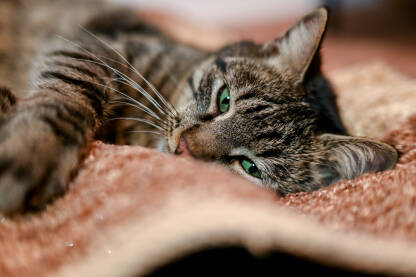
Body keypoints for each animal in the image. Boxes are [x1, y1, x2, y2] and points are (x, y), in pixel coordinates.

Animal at [0, 0, 398, 213]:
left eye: (250, 168)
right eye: (224, 100)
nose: (186, 148)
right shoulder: (96, 47)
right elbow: (70, 94)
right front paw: (33, 145)